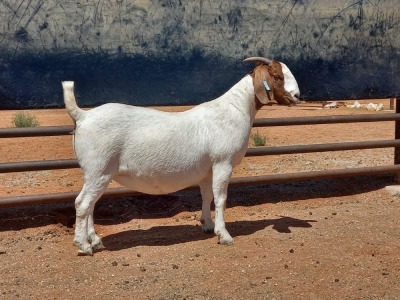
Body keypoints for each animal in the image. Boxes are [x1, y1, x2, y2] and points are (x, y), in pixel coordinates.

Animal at [63, 56, 300, 255]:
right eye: (277, 76)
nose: (297, 96)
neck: (235, 109)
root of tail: (83, 116)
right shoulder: (223, 163)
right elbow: (221, 198)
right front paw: (224, 235)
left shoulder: (207, 169)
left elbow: (207, 196)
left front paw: (208, 225)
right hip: (99, 168)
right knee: (82, 204)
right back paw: (83, 245)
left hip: (96, 173)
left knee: (90, 204)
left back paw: (95, 240)